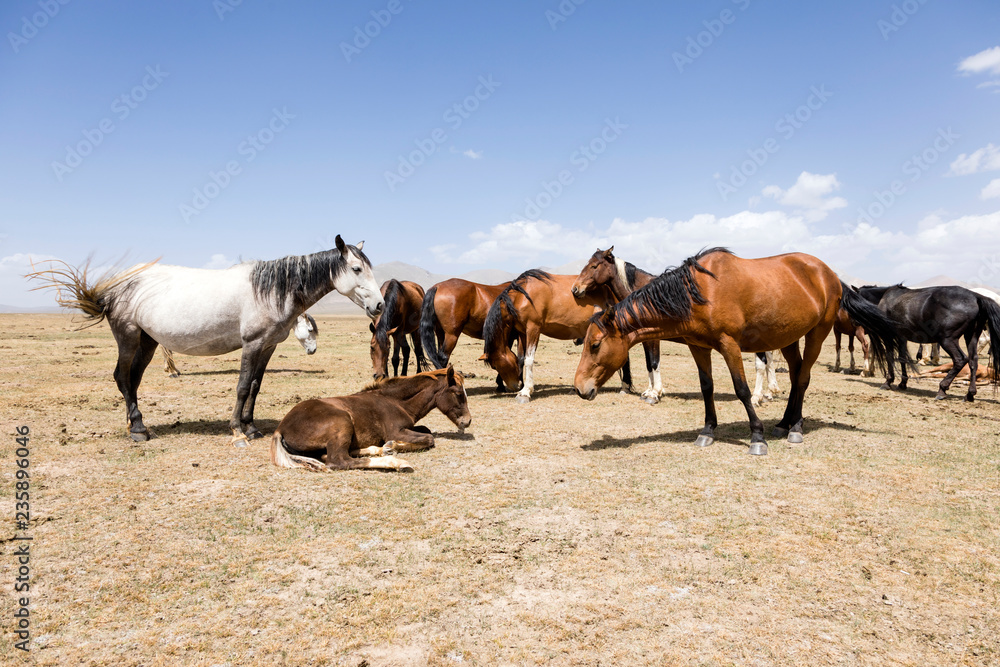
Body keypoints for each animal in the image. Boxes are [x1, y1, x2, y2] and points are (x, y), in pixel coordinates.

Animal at [269, 366, 471, 472]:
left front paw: (390, 446)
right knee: (338, 460)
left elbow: (426, 430)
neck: (394, 401)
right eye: (458, 393)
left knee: (329, 455)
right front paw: (394, 446)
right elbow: (429, 438)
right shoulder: (395, 431)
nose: (467, 421)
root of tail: (280, 428)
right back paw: (397, 462)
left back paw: (380, 450)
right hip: (342, 421)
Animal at [483, 270, 602, 403]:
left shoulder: (533, 329)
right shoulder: (523, 332)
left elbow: (529, 359)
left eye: (494, 366)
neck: (521, 296)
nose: (514, 387)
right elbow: (521, 358)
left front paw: (525, 392)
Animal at [570, 247, 664, 404]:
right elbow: (648, 363)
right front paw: (648, 391)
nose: (575, 289)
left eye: (594, 266)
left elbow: (654, 362)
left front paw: (655, 393)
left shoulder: (654, 337)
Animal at [855, 284, 1000, 401]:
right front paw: (903, 383)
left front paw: (888, 382)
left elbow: (890, 356)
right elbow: (902, 358)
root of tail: (976, 297)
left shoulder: (888, 335)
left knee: (960, 359)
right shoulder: (902, 337)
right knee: (973, 361)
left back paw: (942, 389)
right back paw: (970, 394)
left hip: (948, 340)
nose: (856, 324)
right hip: (971, 337)